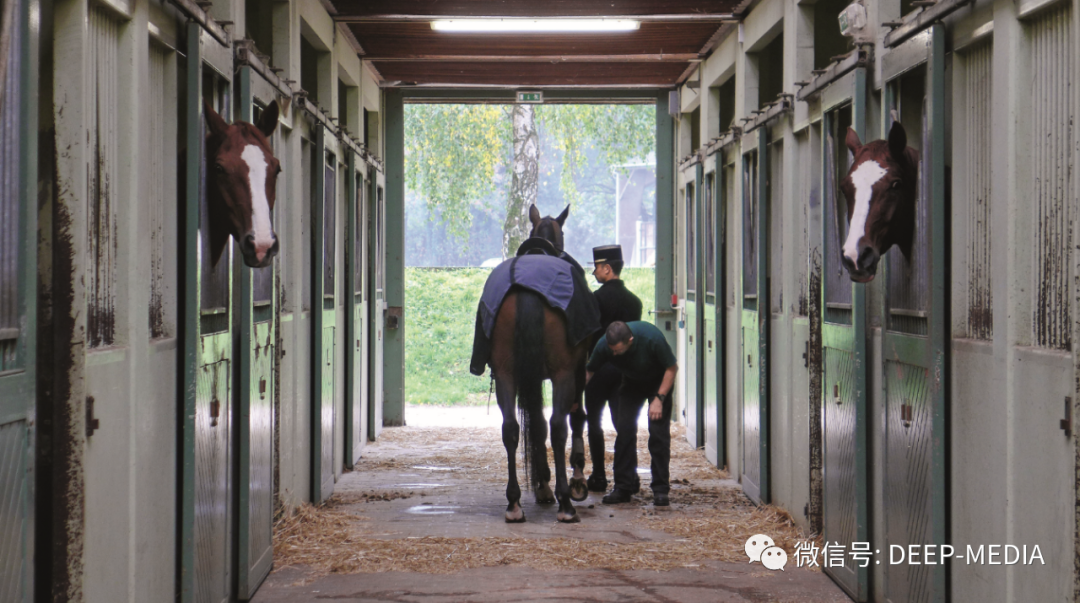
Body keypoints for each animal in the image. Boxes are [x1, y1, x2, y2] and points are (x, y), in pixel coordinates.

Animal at [488, 204, 591, 525]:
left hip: (506, 374)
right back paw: (566, 503)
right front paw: (576, 479)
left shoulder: (527, 377)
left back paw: (514, 502)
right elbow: (575, 417)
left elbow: (536, 424)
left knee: (511, 428)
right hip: (563, 374)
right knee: (559, 427)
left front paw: (542, 484)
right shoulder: (576, 371)